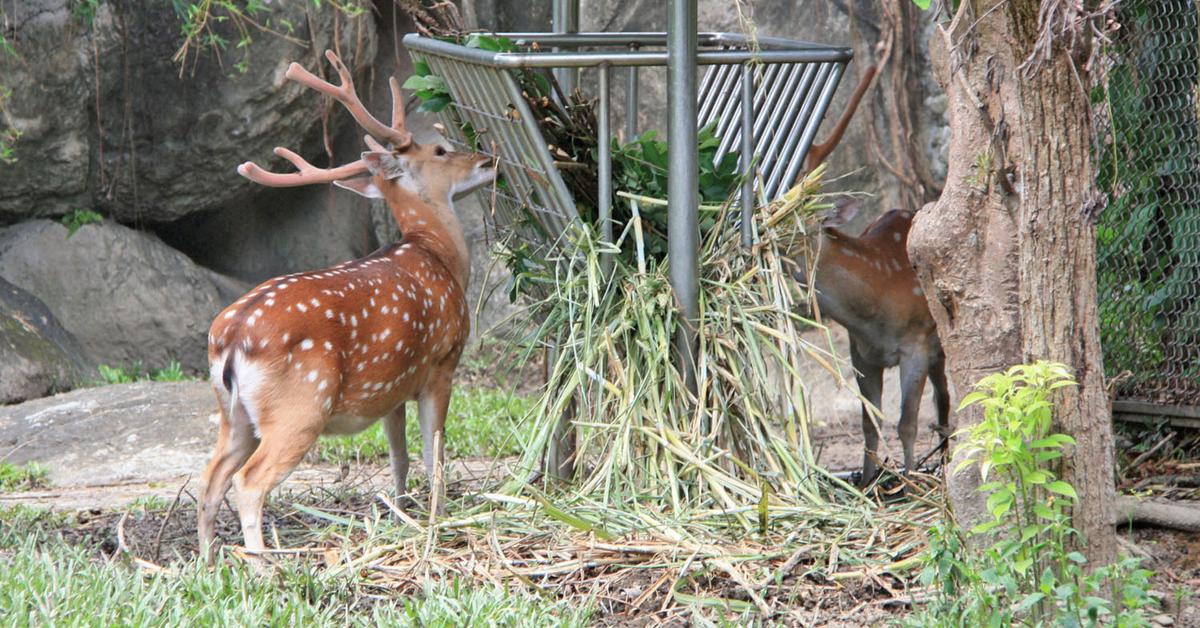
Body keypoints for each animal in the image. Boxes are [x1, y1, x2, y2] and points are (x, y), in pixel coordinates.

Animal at [196, 50, 492, 559]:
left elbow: (399, 457)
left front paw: (402, 513)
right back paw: (265, 567)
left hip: (233, 414)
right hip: (299, 407)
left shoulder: (391, 386)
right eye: (439, 150)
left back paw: (208, 564)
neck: (437, 254)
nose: (488, 159)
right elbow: (434, 453)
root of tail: (231, 339)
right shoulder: (441, 362)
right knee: (248, 482)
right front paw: (438, 520)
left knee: (210, 479)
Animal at [792, 199, 950, 485]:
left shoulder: (916, 344)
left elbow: (907, 423)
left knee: (943, 399)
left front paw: (909, 485)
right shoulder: (861, 354)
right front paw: (866, 483)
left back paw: (943, 463)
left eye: (794, 227)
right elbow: (869, 423)